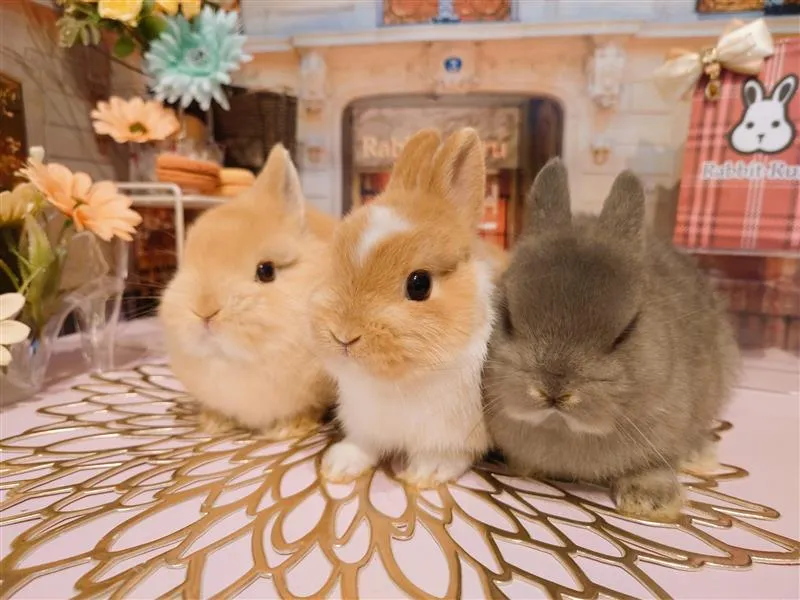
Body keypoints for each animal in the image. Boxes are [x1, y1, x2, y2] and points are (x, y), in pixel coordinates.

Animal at [309, 128, 498, 488]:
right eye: (334, 263)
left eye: (419, 284)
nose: (343, 336)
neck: (397, 381)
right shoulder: (365, 424)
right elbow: (364, 445)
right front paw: (339, 465)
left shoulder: (453, 434)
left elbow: (447, 456)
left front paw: (424, 474)